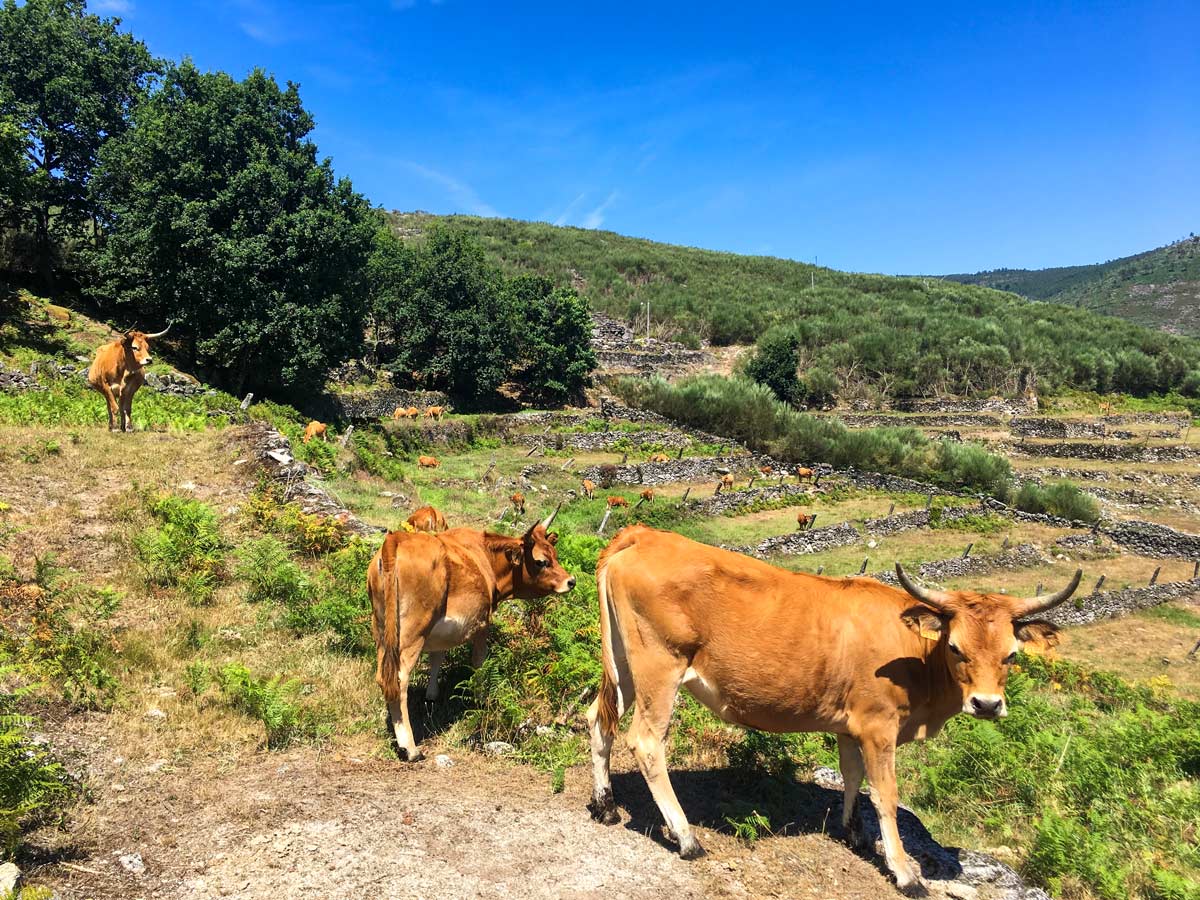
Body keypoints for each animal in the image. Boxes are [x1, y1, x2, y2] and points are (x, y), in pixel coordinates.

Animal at [364, 501, 571, 763]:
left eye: (554, 554)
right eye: (541, 561)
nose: (571, 581)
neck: (486, 558)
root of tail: (396, 539)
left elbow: (438, 656)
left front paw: (432, 695)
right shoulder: (482, 623)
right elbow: (479, 663)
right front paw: (481, 699)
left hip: (382, 630)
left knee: (384, 677)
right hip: (411, 633)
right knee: (399, 681)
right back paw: (410, 747)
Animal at [585, 525, 1084, 897]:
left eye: (1012, 655)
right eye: (956, 648)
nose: (986, 704)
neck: (914, 655)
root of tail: (644, 535)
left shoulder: (852, 725)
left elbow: (852, 776)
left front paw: (852, 830)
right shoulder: (881, 726)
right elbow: (886, 794)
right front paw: (904, 871)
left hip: (623, 664)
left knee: (598, 721)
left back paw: (606, 805)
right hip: (660, 668)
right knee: (646, 741)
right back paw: (686, 837)